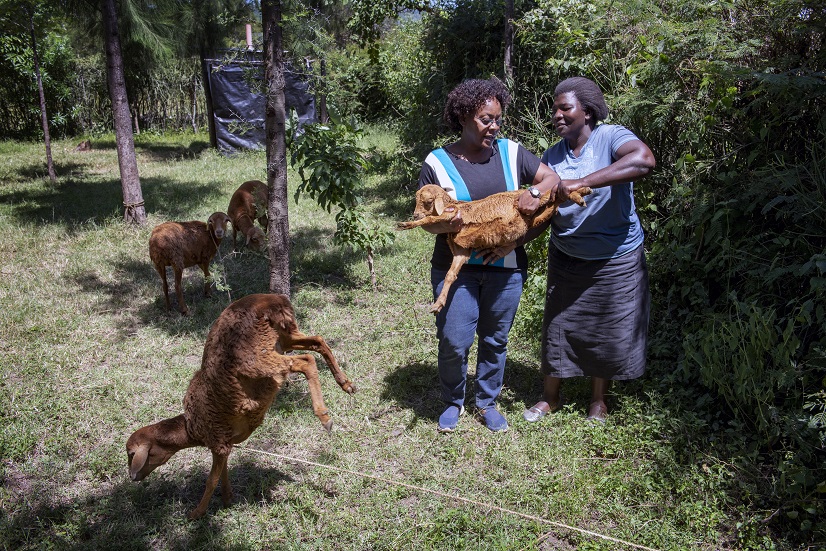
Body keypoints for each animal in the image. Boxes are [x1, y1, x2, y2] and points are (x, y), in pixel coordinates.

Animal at [124, 296, 356, 520]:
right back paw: (345, 383)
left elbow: (211, 480)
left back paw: (324, 416)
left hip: (257, 357)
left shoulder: (217, 439)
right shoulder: (225, 443)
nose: (132, 477)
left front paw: (196, 513)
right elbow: (222, 472)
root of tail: (272, 301)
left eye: (131, 454)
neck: (191, 427)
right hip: (285, 336)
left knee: (305, 361)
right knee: (317, 341)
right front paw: (227, 499)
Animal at [396, 185, 588, 312]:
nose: (415, 214)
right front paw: (438, 304)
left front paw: (406, 224)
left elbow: (429, 219)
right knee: (553, 204)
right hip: (532, 219)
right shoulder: (461, 251)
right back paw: (578, 196)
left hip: (530, 202)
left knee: (549, 194)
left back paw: (581, 193)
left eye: (428, 201)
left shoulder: (451, 215)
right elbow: (450, 274)